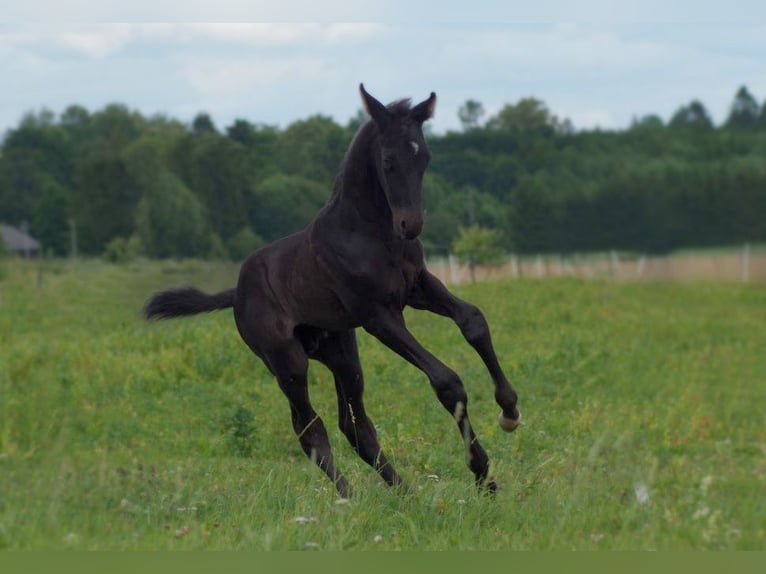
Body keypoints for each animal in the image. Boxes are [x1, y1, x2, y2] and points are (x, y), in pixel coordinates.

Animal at [144, 85, 520, 500]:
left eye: (423, 155)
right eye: (388, 160)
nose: (411, 225)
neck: (370, 233)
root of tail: (237, 292)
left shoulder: (419, 287)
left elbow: (473, 320)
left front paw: (509, 412)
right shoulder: (378, 315)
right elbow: (446, 380)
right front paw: (482, 473)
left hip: (341, 352)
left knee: (354, 425)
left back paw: (404, 495)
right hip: (286, 361)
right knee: (309, 428)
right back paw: (350, 498)